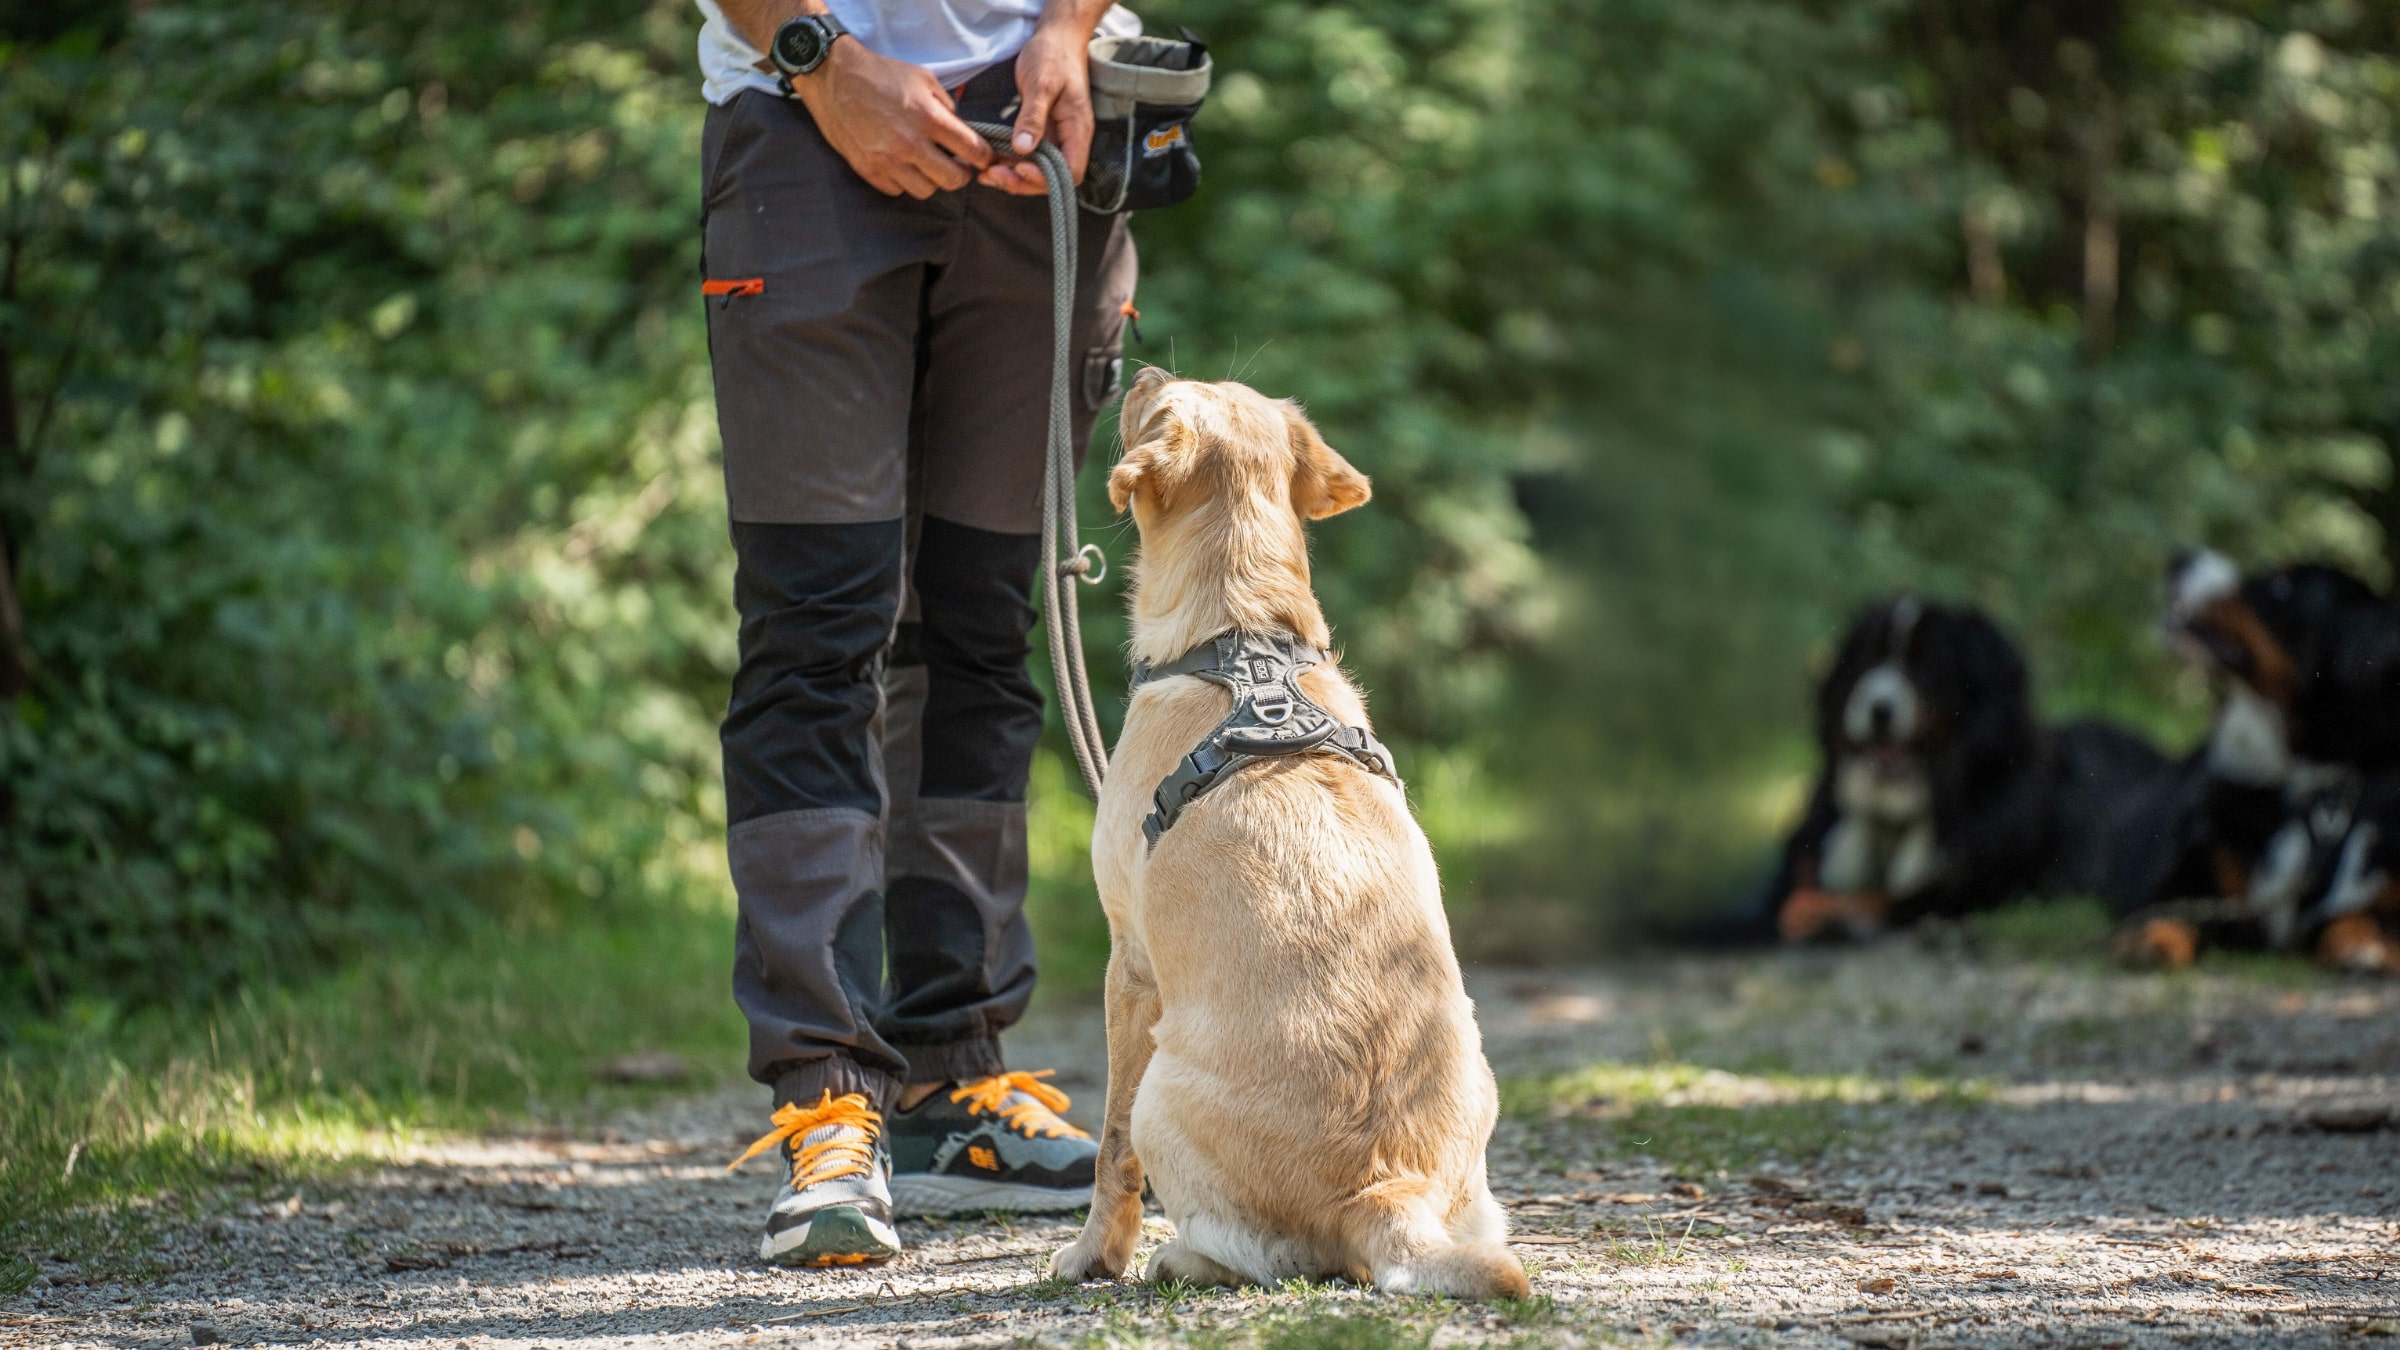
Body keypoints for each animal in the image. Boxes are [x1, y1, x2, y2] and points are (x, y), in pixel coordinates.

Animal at [1766, 593, 2179, 941]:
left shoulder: (1961, 890)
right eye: (1866, 661)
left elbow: (1874, 901)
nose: (1878, 708)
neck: (1893, 820)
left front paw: (1825, 914)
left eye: (1927, 666)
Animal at [2112, 550, 2400, 965]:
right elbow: (2168, 909)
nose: (2180, 557)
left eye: (2281, 586)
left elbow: (2355, 915)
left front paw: (2368, 945)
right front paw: (2149, 939)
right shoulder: (2191, 880)